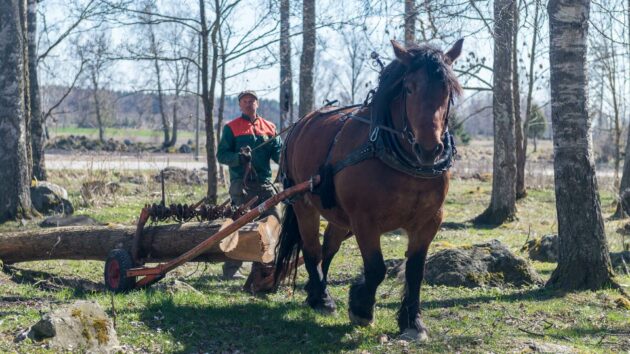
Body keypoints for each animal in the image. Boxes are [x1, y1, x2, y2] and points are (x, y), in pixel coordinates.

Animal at [276, 40, 464, 342]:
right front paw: (362, 308)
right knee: (312, 250)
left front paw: (413, 322)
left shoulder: (429, 222)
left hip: (340, 217)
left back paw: (318, 292)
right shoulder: (365, 220)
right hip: (304, 203)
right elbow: (376, 268)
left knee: (328, 249)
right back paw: (321, 299)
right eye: (409, 87)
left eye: (448, 90)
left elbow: (415, 271)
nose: (429, 149)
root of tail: (302, 123)